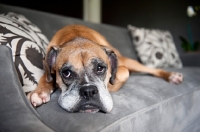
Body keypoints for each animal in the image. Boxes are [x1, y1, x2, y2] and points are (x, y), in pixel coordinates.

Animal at [27, 24, 184, 113]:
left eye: (100, 68)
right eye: (66, 73)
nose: (88, 91)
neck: (76, 37)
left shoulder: (122, 69)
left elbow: (117, 77)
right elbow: (46, 77)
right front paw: (40, 92)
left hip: (129, 62)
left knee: (152, 70)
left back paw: (171, 76)